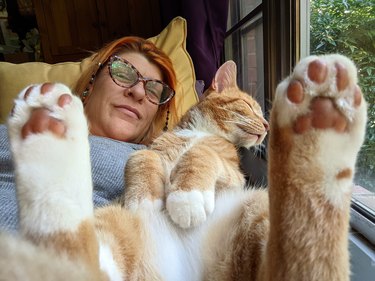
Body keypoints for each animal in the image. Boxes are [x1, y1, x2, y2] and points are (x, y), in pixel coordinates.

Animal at [0, 53, 366, 278]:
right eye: (250, 107)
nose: (266, 126)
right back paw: (45, 134)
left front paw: (185, 197)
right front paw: (143, 197)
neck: (199, 132)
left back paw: (320, 118)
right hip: (114, 223)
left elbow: (201, 155)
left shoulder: (232, 172)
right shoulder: (148, 151)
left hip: (255, 206)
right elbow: (140, 157)